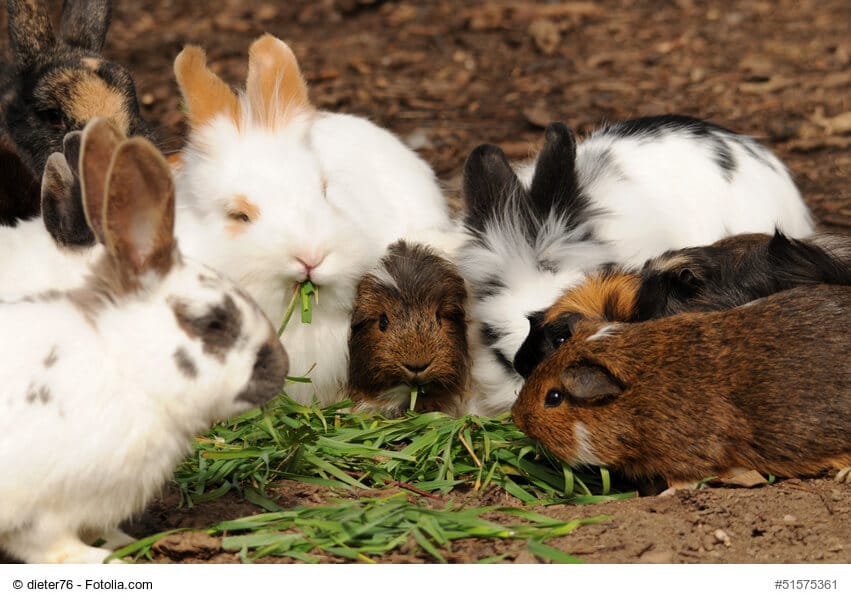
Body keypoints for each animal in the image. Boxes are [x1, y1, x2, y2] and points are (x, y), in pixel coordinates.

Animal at [0, 126, 288, 565]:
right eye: (212, 322)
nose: (282, 368)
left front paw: (119, 541)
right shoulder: (38, 511)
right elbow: (50, 546)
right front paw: (102, 559)